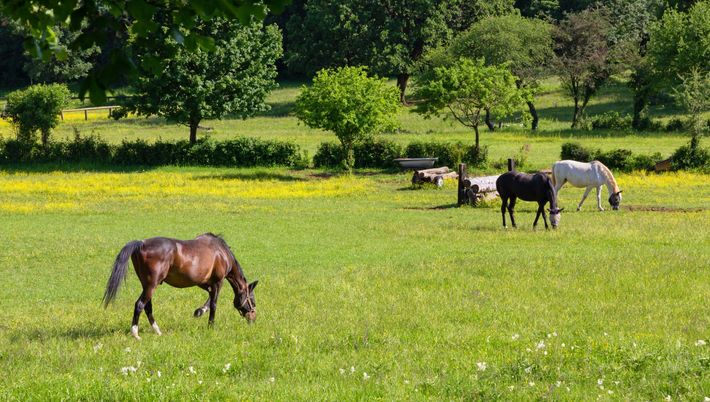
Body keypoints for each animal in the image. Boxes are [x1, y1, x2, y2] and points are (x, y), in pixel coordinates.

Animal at [102, 233, 258, 340]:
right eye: (252, 300)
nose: (253, 318)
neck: (222, 252)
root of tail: (141, 243)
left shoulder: (203, 282)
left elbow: (209, 298)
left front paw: (200, 311)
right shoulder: (218, 282)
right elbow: (214, 304)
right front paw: (211, 326)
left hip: (146, 285)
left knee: (147, 307)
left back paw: (157, 331)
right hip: (151, 285)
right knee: (140, 305)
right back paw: (135, 333)